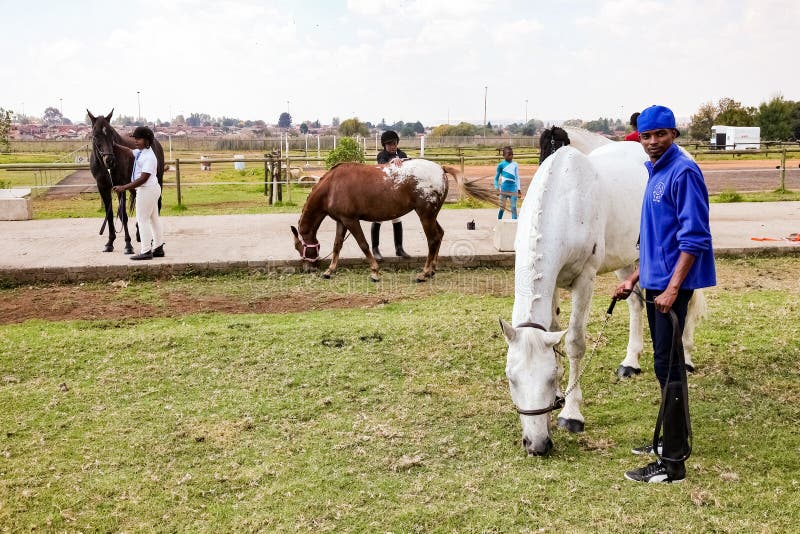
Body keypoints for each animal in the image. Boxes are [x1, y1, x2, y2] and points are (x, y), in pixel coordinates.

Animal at [86, 110, 165, 254]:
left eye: (111, 133)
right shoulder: (103, 188)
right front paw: (110, 243)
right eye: (95, 135)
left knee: (156, 205)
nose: (110, 161)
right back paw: (139, 234)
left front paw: (128, 245)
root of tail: (155, 142)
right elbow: (110, 215)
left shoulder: (120, 187)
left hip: (158, 180)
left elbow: (123, 215)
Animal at [292, 160, 456, 282]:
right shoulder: (341, 221)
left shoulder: (351, 220)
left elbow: (363, 244)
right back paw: (432, 269)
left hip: (425, 215)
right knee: (439, 235)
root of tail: (440, 169)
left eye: (299, 247)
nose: (307, 269)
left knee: (432, 240)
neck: (332, 186)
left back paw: (424, 273)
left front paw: (375, 272)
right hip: (431, 216)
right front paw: (329, 271)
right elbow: (337, 245)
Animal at [500, 135, 708, 456]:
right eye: (511, 378)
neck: (566, 204)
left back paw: (685, 355)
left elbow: (574, 343)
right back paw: (631, 362)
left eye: (548, 376)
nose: (537, 445)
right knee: (635, 303)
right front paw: (560, 395)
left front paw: (571, 413)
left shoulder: (584, 279)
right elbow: (554, 336)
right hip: (627, 260)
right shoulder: (552, 284)